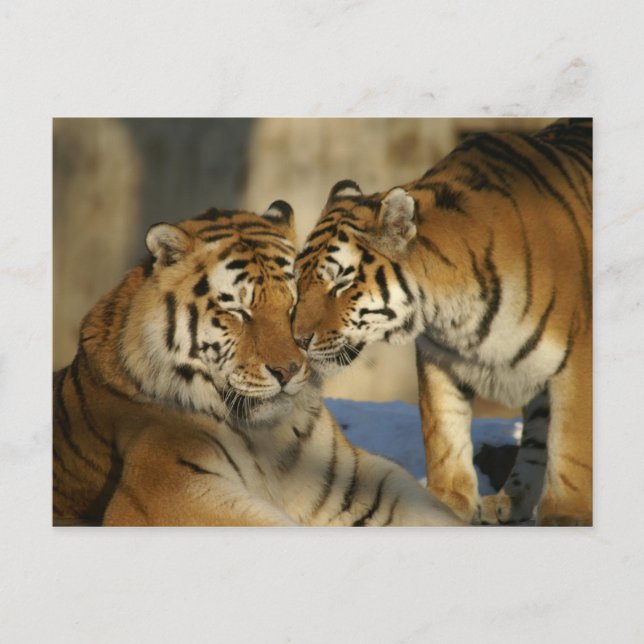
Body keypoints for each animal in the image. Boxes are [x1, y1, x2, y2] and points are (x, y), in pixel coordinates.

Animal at [53, 201, 464, 527]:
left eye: (296, 301)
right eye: (238, 310)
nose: (288, 370)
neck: (270, 436)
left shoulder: (350, 482)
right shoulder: (166, 490)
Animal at [293, 118, 592, 526]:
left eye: (340, 283)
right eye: (299, 280)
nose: (297, 338)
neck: (452, 311)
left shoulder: (578, 355)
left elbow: (571, 444)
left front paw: (567, 516)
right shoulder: (439, 357)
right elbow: (444, 431)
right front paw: (446, 502)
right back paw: (508, 501)